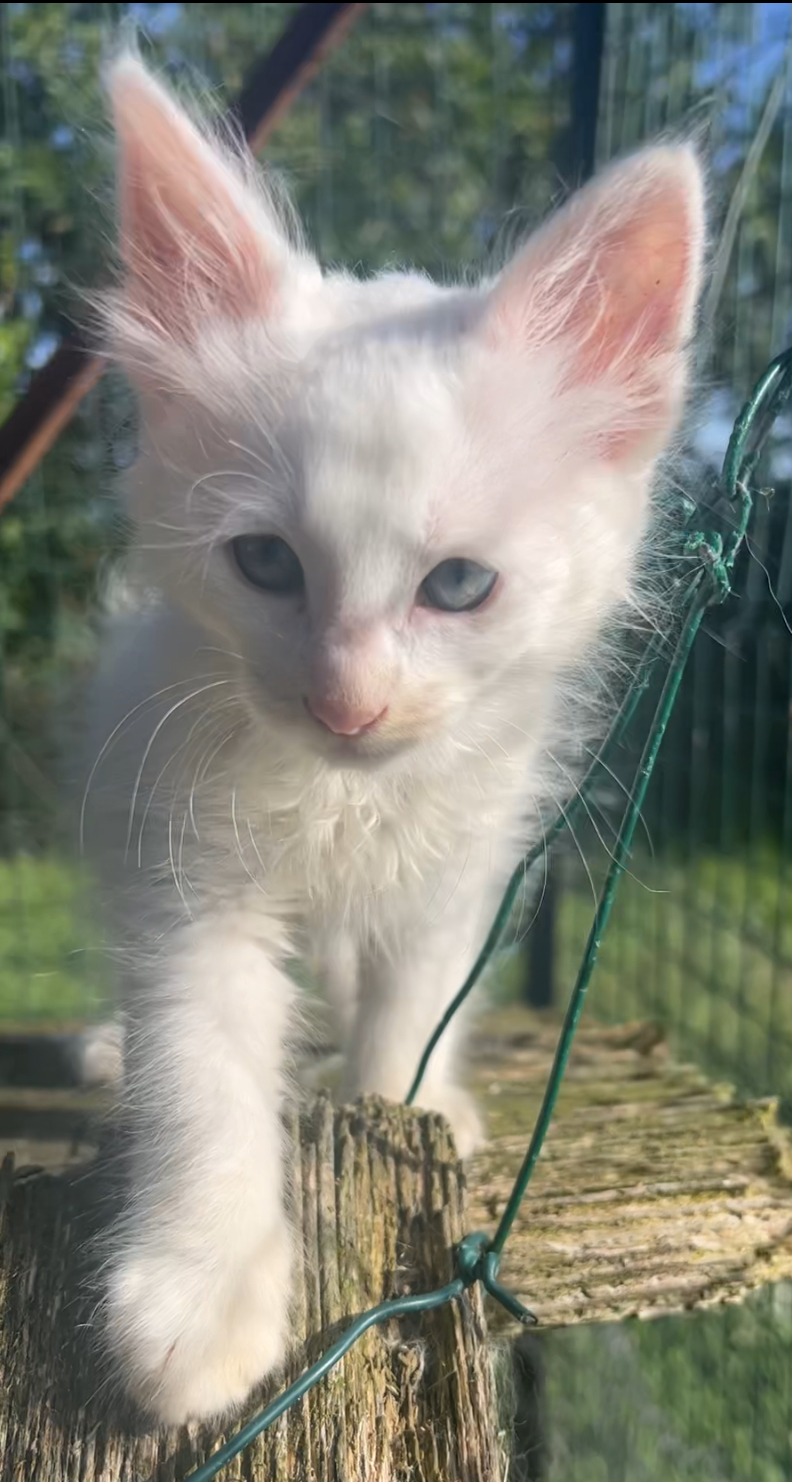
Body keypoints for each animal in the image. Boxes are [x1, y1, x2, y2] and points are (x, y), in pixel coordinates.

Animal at [80, 52, 705, 1425]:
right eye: (266, 564)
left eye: (458, 587)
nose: (348, 704)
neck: (338, 799)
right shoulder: (182, 855)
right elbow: (201, 1059)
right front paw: (200, 1291)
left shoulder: (463, 852)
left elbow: (417, 994)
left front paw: (401, 1107)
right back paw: (105, 1048)